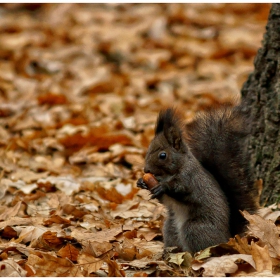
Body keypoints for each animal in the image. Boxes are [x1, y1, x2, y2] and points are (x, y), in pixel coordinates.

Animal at [137, 104, 260, 255]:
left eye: (162, 155)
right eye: (148, 149)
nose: (146, 170)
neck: (169, 173)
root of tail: (227, 238)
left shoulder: (190, 177)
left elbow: (181, 188)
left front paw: (163, 186)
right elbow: (164, 200)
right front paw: (142, 182)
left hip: (195, 228)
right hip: (170, 227)